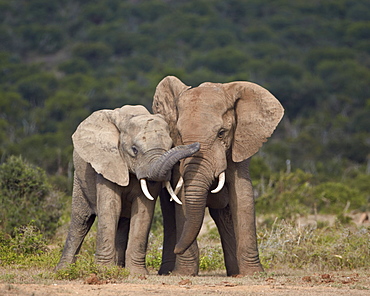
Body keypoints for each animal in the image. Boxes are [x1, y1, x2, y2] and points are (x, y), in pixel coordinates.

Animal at [55, 104, 199, 276]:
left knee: (122, 223)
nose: (197, 145)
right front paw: (103, 270)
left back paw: (119, 268)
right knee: (81, 221)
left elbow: (143, 211)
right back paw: (62, 270)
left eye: (170, 146)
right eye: (134, 150)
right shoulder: (108, 162)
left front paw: (137, 273)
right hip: (79, 178)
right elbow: (111, 208)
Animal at [152, 75, 284, 276]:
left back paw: (235, 273)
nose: (177, 249)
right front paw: (184, 274)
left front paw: (253, 274)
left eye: (222, 133)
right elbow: (182, 201)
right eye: (179, 135)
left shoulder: (240, 144)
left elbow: (243, 195)